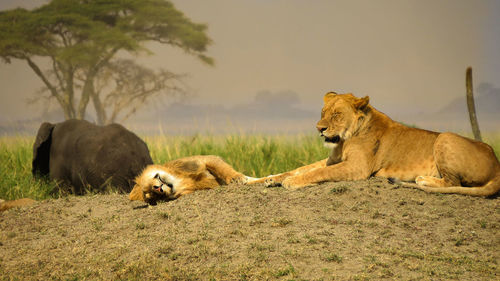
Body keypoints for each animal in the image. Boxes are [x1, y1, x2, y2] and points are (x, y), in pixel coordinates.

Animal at [248, 91, 500, 196]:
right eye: (323, 112)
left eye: (337, 115)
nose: (319, 128)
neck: (344, 140)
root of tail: (497, 163)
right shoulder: (332, 159)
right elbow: (303, 168)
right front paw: (271, 179)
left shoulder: (356, 167)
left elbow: (315, 173)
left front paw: (290, 182)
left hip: (445, 136)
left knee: (452, 182)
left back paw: (423, 180)